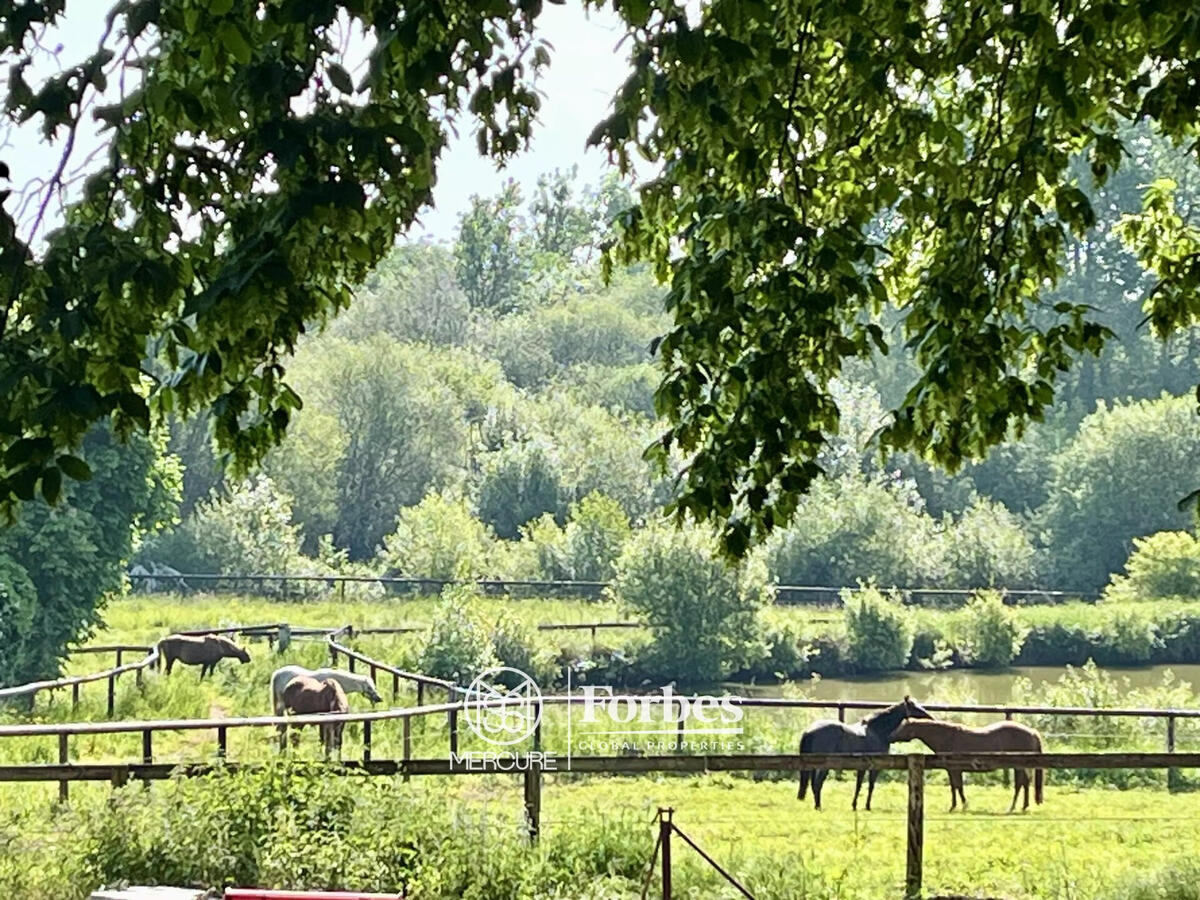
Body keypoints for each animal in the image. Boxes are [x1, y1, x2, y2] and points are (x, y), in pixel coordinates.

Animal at [796, 696, 936, 816]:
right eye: (914, 706)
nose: (931, 716)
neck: (877, 731)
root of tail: (809, 731)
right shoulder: (875, 767)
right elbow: (870, 786)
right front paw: (867, 806)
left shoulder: (861, 767)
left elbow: (858, 786)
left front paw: (854, 806)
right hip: (824, 766)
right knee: (817, 784)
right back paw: (819, 807)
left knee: (813, 785)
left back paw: (817, 807)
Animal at [888, 720, 1046, 816]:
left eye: (902, 727)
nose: (890, 736)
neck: (947, 738)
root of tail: (1032, 732)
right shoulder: (952, 770)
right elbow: (955, 788)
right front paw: (956, 806)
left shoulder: (955, 770)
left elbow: (957, 788)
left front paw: (961, 806)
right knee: (1024, 784)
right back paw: (1021, 807)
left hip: (1019, 766)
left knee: (1021, 785)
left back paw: (1015, 807)